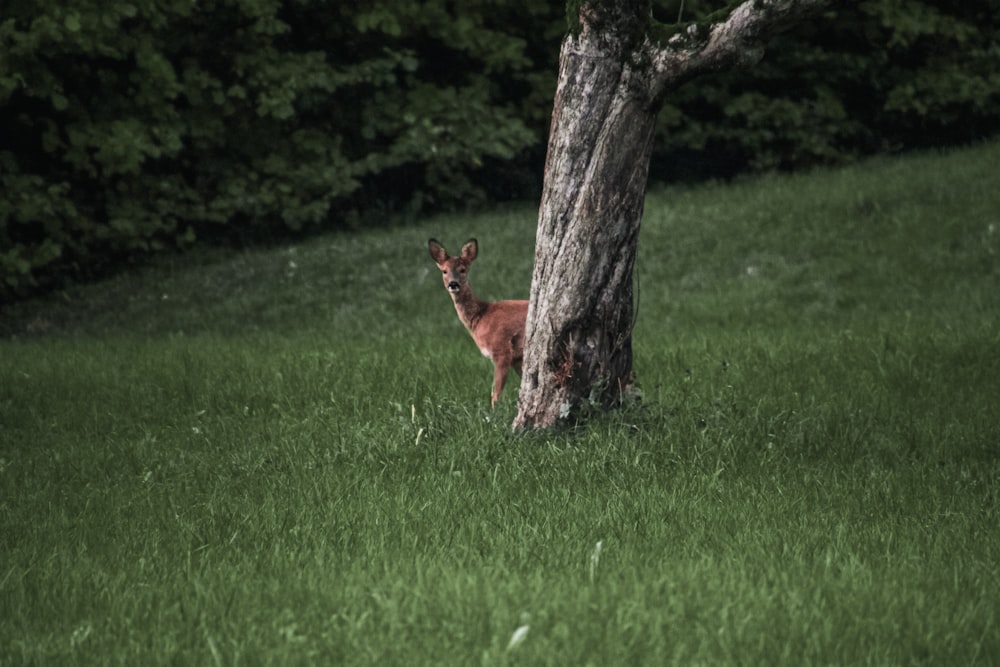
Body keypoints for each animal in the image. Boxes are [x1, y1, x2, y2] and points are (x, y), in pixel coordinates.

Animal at [426, 239, 528, 408]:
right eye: (444, 271)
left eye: (462, 270)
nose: (453, 284)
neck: (481, 315)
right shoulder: (517, 358)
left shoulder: (502, 350)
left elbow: (495, 395)